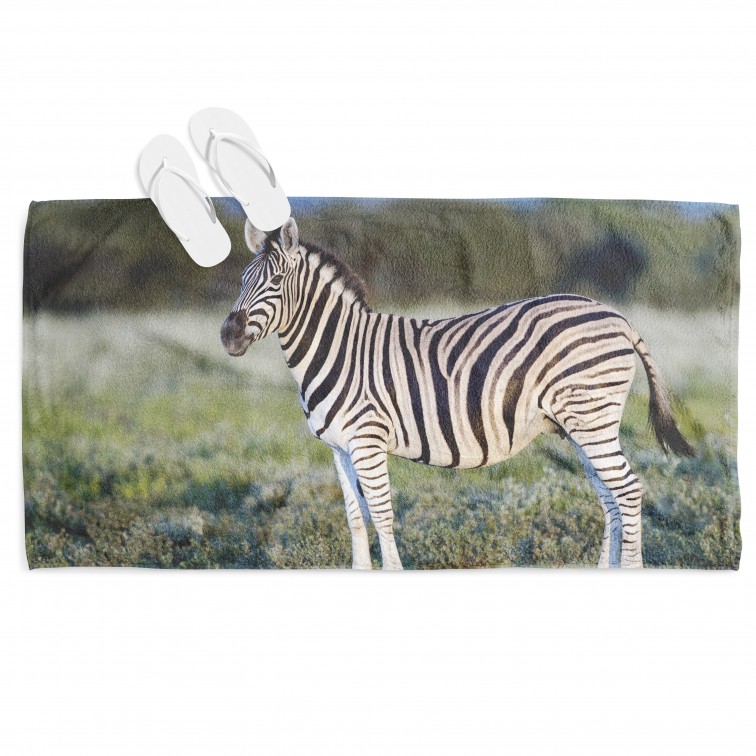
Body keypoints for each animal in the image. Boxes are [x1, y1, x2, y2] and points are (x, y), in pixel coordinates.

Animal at [221, 216, 694, 570]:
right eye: (242, 280)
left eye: (276, 282)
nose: (228, 335)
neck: (340, 347)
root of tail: (618, 316)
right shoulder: (338, 447)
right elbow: (355, 518)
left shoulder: (368, 440)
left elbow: (382, 515)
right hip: (582, 424)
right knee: (610, 497)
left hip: (592, 417)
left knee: (628, 490)